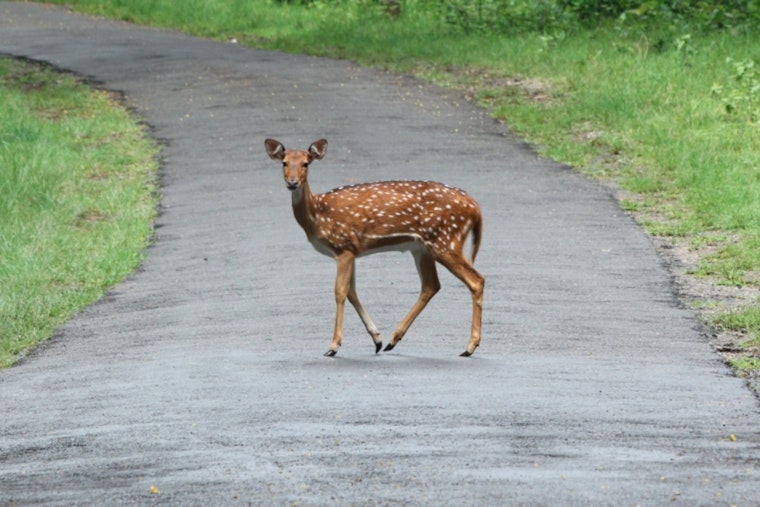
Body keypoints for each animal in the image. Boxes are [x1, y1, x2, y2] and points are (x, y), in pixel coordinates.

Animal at [265, 138, 484, 357]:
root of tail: (475, 207)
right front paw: (376, 339)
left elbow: (340, 292)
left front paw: (333, 346)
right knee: (431, 285)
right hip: (422, 248)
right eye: (284, 162)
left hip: (445, 240)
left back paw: (469, 346)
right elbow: (352, 292)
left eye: (306, 163)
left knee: (476, 280)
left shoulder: (343, 246)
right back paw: (392, 340)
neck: (317, 216)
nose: (292, 182)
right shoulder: (352, 250)